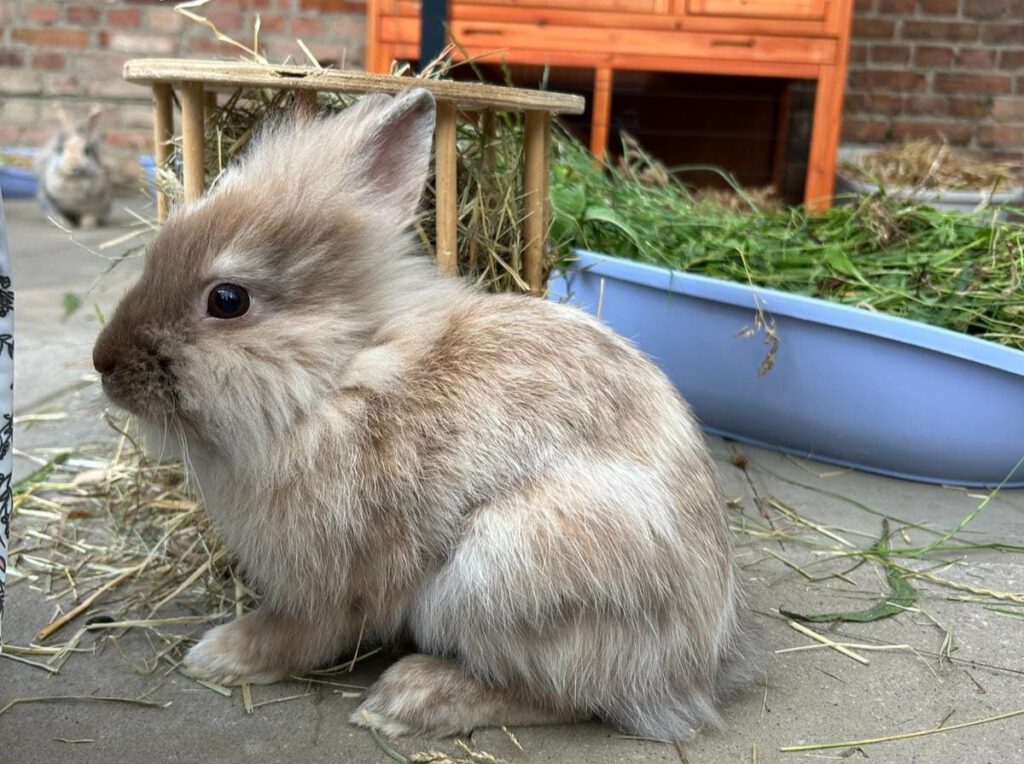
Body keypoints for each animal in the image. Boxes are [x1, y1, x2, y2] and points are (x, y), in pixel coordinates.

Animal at [92, 87, 765, 737]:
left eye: (227, 299)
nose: (103, 361)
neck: (337, 381)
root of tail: (699, 664)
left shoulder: (328, 580)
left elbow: (302, 633)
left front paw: (220, 655)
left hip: (503, 577)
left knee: (567, 694)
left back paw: (408, 700)